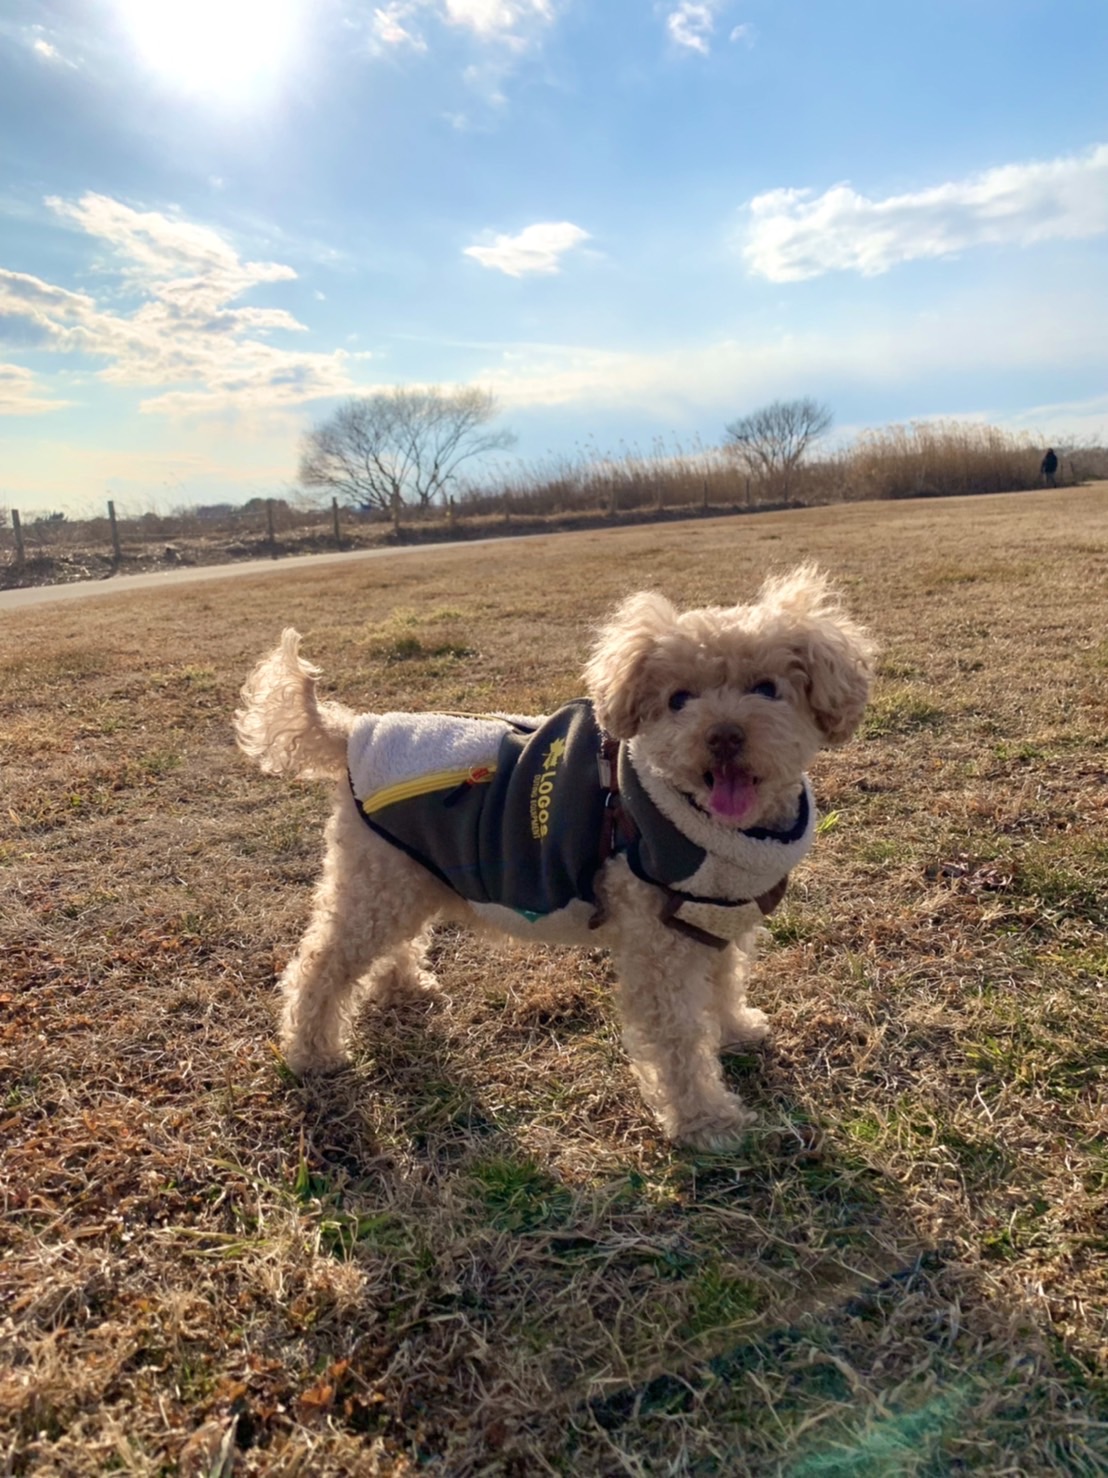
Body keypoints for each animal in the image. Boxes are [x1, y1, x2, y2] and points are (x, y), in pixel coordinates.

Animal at [236, 558, 874, 1146]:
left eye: (768, 689)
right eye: (678, 700)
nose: (722, 736)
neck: (718, 828)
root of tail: (352, 730)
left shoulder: (713, 921)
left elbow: (722, 986)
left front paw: (739, 1030)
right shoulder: (659, 946)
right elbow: (678, 1040)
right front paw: (707, 1124)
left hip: (406, 873)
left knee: (386, 944)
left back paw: (401, 989)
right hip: (377, 881)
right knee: (321, 964)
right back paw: (312, 1053)